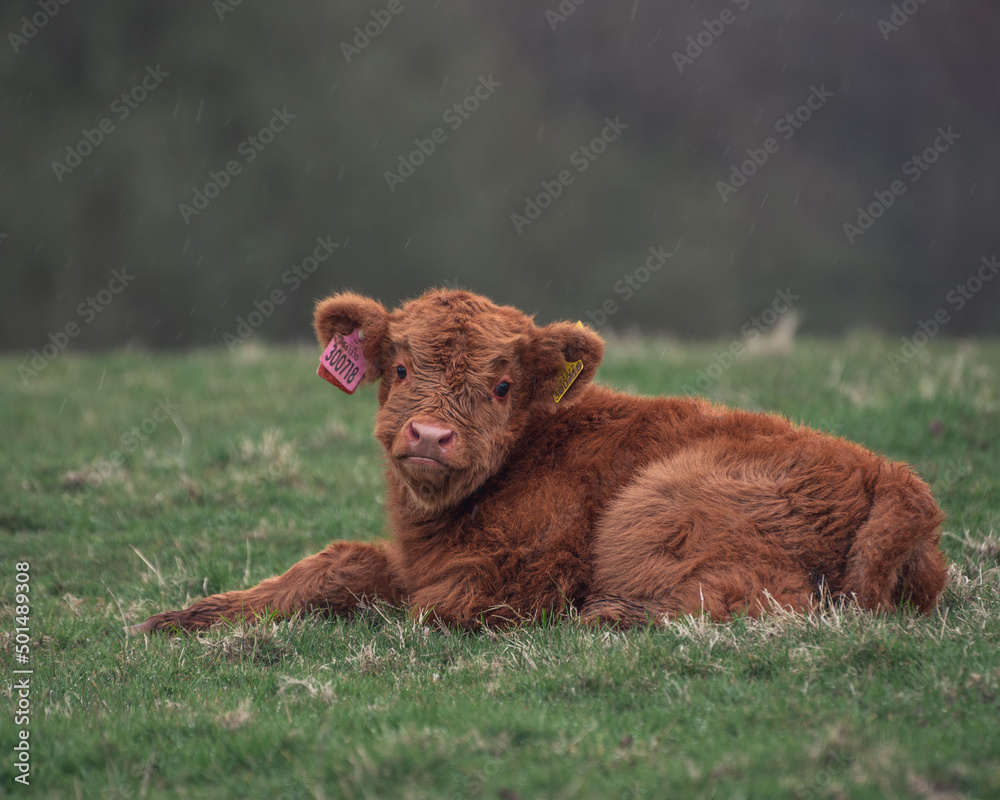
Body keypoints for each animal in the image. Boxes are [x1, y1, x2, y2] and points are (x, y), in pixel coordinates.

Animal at [129, 290, 948, 636]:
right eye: (399, 366)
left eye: (500, 385)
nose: (430, 436)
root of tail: (893, 476)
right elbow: (336, 563)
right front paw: (182, 618)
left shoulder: (517, 571)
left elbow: (424, 606)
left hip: (657, 511)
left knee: (757, 598)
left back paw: (611, 617)